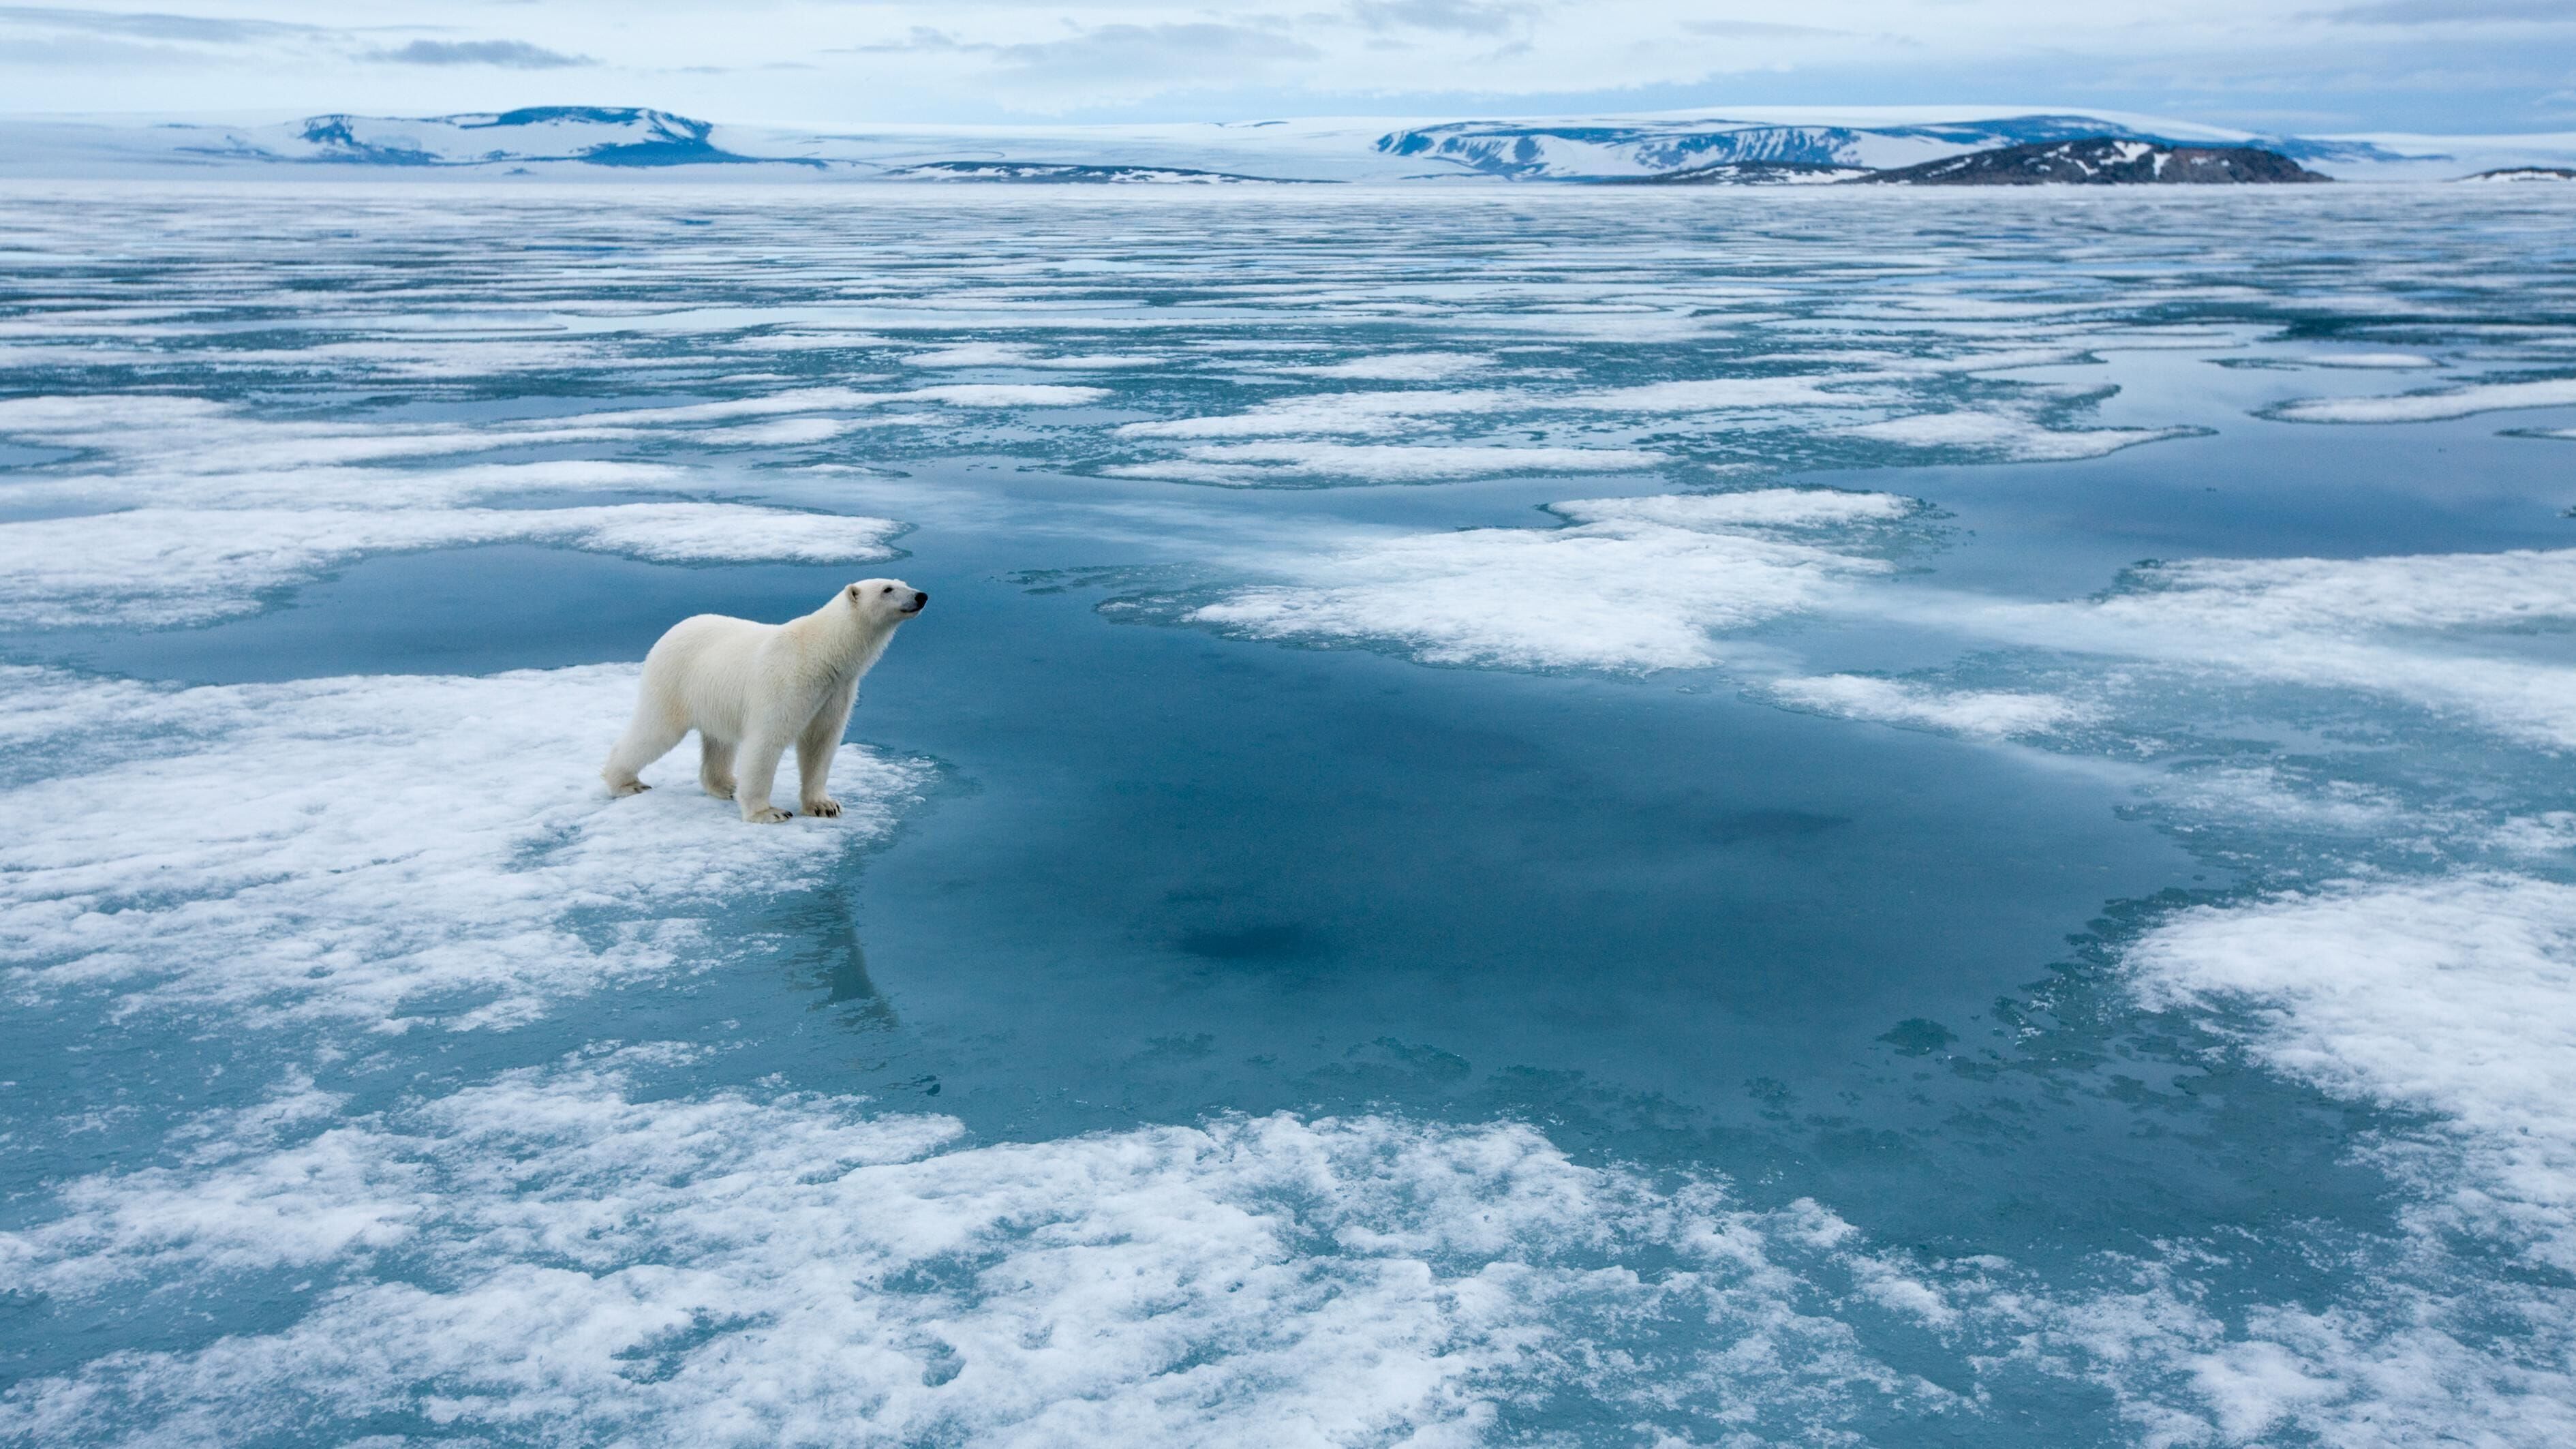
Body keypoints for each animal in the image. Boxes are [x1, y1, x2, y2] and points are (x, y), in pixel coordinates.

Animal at [600, 577, 927, 825]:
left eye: (904, 582)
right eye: (887, 589)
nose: (921, 595)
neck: (823, 653)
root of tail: (670, 631)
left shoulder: (836, 691)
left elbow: (821, 742)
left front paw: (825, 805)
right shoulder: (788, 683)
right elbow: (767, 741)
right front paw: (769, 813)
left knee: (719, 741)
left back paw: (726, 785)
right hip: (674, 683)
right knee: (656, 732)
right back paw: (626, 783)